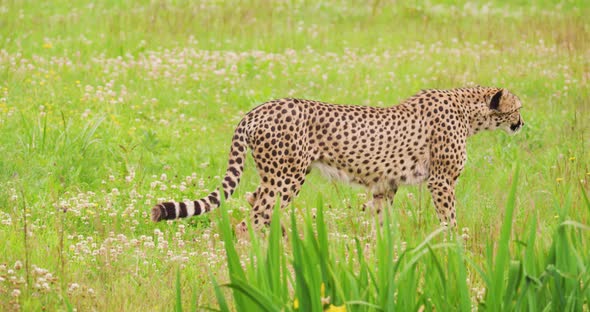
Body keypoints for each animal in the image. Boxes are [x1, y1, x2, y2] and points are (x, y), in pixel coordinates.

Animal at [153, 88, 528, 229]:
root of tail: (259, 108)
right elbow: (449, 220)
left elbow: (380, 221)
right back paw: (260, 258)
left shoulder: (385, 185)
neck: (469, 110)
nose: (522, 123)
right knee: (257, 211)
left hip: (278, 175)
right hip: (287, 176)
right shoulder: (441, 181)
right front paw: (453, 249)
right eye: (518, 107)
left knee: (252, 200)